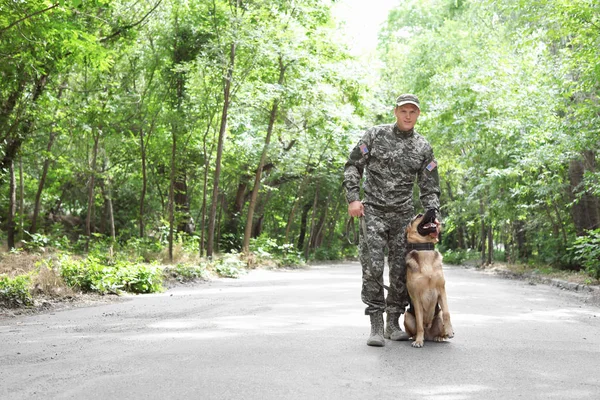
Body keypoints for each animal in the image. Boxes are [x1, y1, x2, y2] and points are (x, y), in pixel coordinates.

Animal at [404, 211, 454, 348]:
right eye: (419, 215)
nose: (433, 209)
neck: (425, 250)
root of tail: (428, 335)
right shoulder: (416, 297)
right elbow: (419, 321)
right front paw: (418, 341)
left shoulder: (442, 290)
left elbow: (447, 312)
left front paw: (450, 331)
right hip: (407, 315)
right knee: (417, 329)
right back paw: (417, 337)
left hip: (438, 315)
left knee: (441, 322)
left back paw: (440, 337)